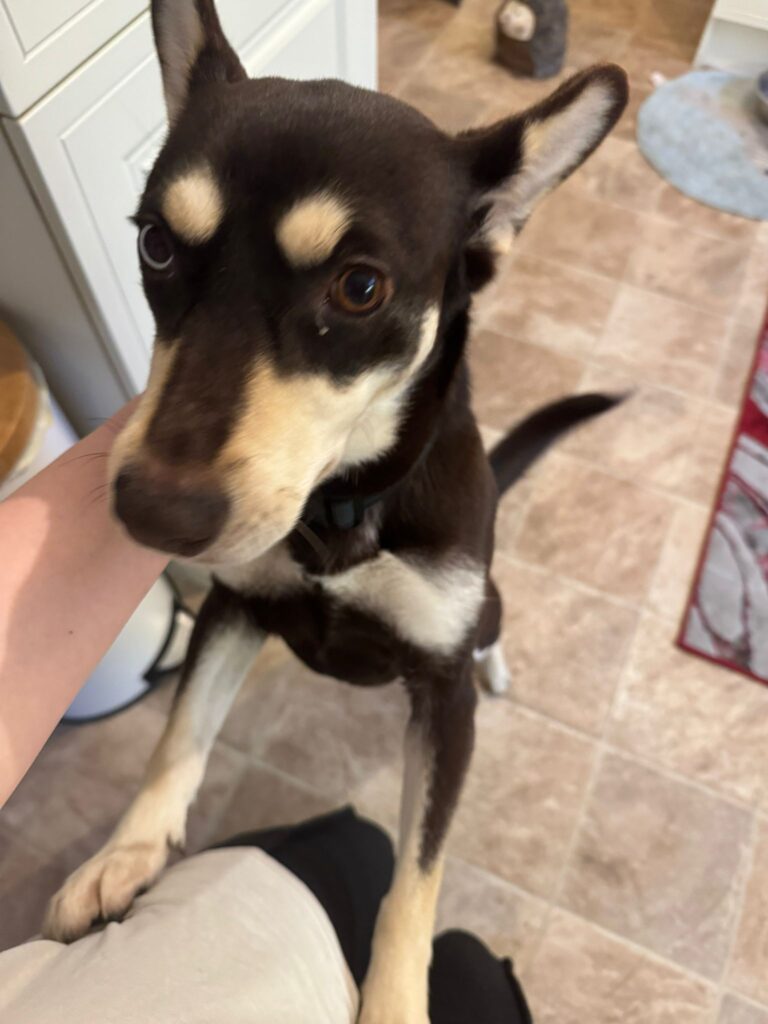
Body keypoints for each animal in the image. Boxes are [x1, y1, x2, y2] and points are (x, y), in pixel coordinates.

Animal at [42, 2, 628, 1020]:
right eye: (156, 243)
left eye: (360, 286)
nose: (154, 510)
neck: (343, 506)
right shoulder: (234, 605)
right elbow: (179, 734)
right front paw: (126, 853)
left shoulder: (442, 700)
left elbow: (416, 878)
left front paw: (392, 1001)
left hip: (482, 611)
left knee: (491, 628)